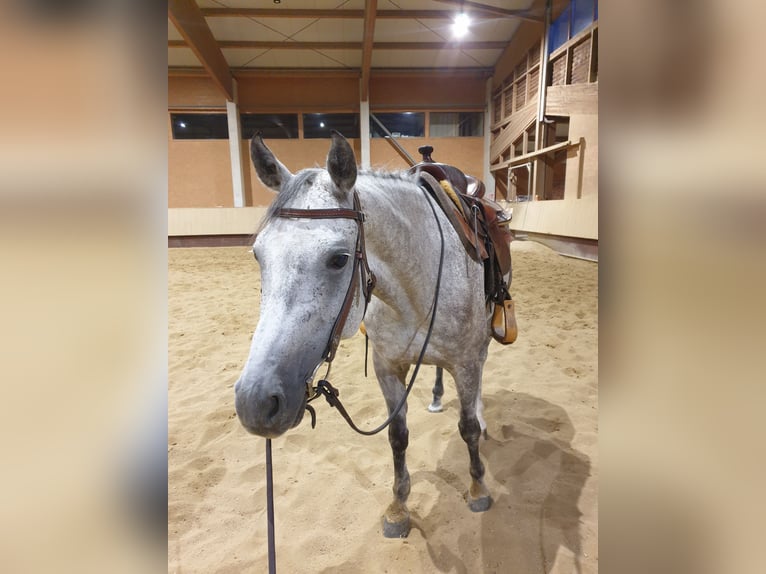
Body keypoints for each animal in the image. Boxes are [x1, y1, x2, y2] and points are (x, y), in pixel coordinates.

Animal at [234, 132, 495, 538]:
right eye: (258, 255)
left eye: (339, 259)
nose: (255, 402)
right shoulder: (388, 367)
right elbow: (397, 437)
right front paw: (398, 507)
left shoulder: (465, 363)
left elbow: (466, 428)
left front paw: (478, 487)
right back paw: (437, 397)